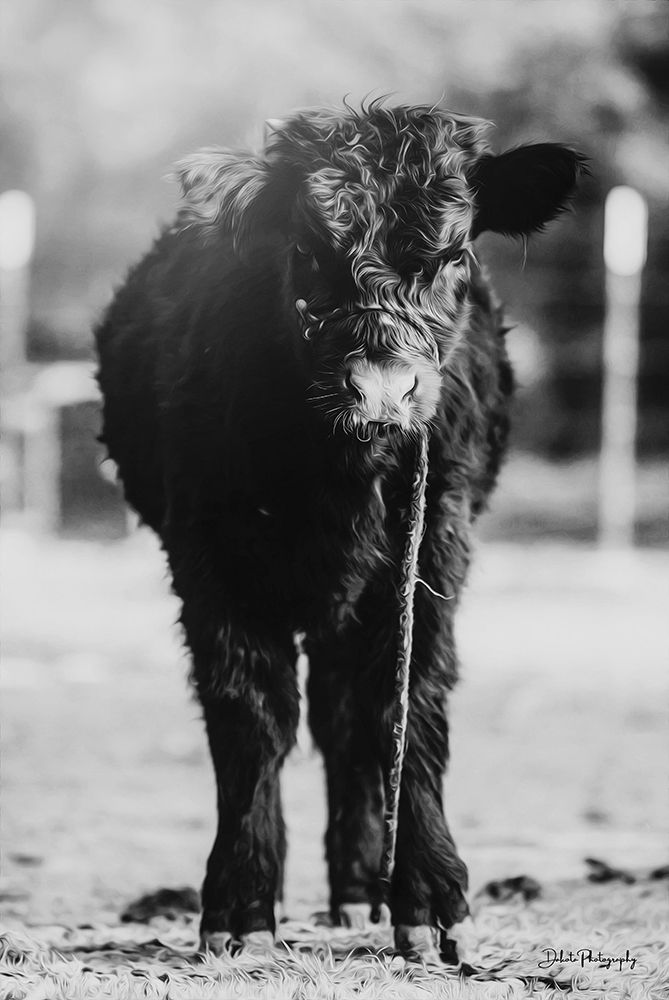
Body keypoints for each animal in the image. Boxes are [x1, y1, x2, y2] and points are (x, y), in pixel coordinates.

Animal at [95, 102, 583, 962]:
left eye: (455, 252)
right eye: (304, 250)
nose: (382, 390)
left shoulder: (433, 549)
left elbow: (407, 703)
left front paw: (427, 898)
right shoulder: (206, 554)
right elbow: (249, 715)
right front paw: (239, 904)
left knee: (349, 717)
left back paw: (361, 888)